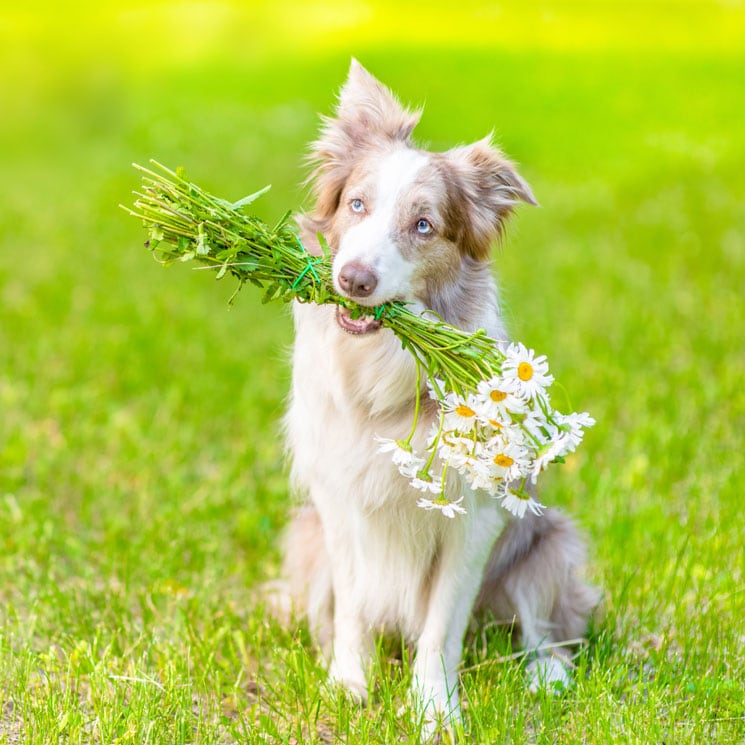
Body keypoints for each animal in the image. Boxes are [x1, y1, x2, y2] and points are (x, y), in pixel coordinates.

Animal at [276, 59, 596, 732]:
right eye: (357, 204)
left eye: (423, 226)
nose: (354, 280)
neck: (380, 373)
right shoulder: (337, 505)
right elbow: (352, 608)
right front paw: (349, 687)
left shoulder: (472, 518)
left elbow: (441, 625)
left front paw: (433, 710)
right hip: (305, 539)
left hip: (548, 542)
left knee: (544, 629)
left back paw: (546, 676)